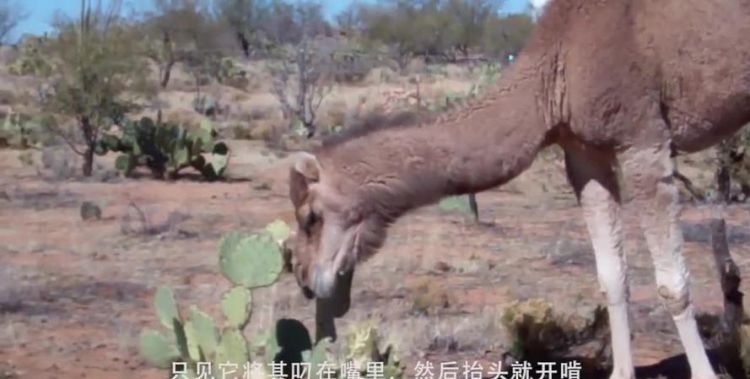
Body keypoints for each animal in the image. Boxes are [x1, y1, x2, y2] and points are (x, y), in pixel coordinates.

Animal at [286, 1, 750, 378]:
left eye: (311, 217)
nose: (305, 279)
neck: (552, 74)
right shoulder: (584, 152)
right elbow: (612, 276)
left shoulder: (644, 140)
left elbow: (673, 285)